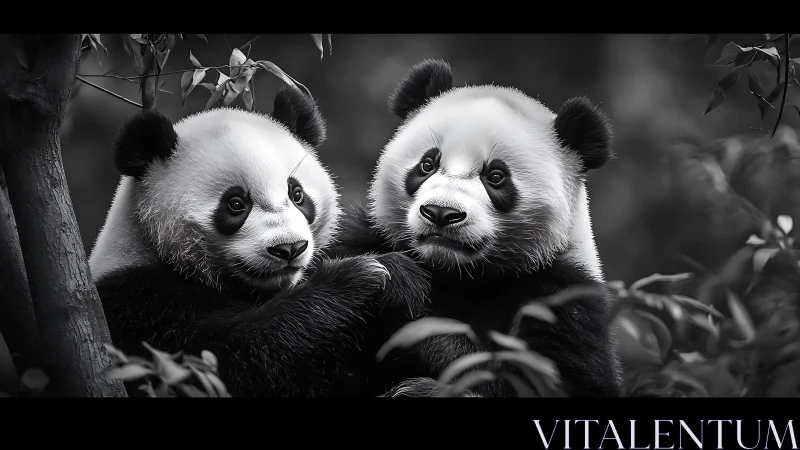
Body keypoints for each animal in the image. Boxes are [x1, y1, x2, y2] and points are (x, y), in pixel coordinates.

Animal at [89, 85, 428, 397]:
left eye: (297, 194)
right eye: (236, 204)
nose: (289, 248)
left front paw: (400, 280)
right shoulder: (137, 305)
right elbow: (225, 361)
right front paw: (360, 275)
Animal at [327, 59, 623, 397]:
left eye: (495, 177)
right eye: (427, 164)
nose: (441, 213)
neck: (456, 273)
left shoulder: (564, 299)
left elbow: (551, 381)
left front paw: (408, 306)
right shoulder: (362, 239)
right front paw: (392, 279)